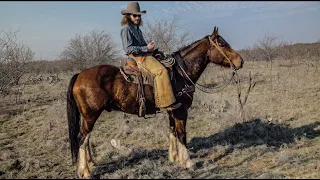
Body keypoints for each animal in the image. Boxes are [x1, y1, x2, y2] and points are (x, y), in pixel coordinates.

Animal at [66, 26, 244, 178]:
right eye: (222, 44)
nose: (240, 61)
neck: (180, 73)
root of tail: (79, 75)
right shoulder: (182, 110)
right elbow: (182, 134)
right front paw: (188, 162)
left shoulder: (173, 110)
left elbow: (172, 131)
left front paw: (174, 158)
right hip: (91, 115)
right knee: (82, 137)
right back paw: (85, 172)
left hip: (88, 116)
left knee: (86, 138)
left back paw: (90, 163)